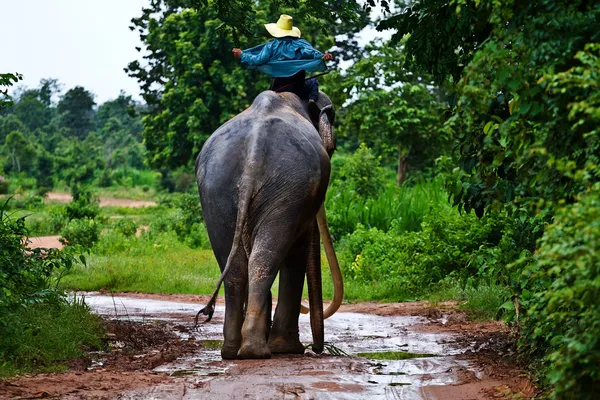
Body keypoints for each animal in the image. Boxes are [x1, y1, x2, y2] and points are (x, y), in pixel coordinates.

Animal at [195, 90, 344, 360]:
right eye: (332, 148)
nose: (318, 349)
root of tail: (253, 153)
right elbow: (299, 248)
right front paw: (289, 348)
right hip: (286, 185)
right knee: (267, 256)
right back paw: (259, 350)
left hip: (217, 188)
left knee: (235, 264)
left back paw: (233, 350)